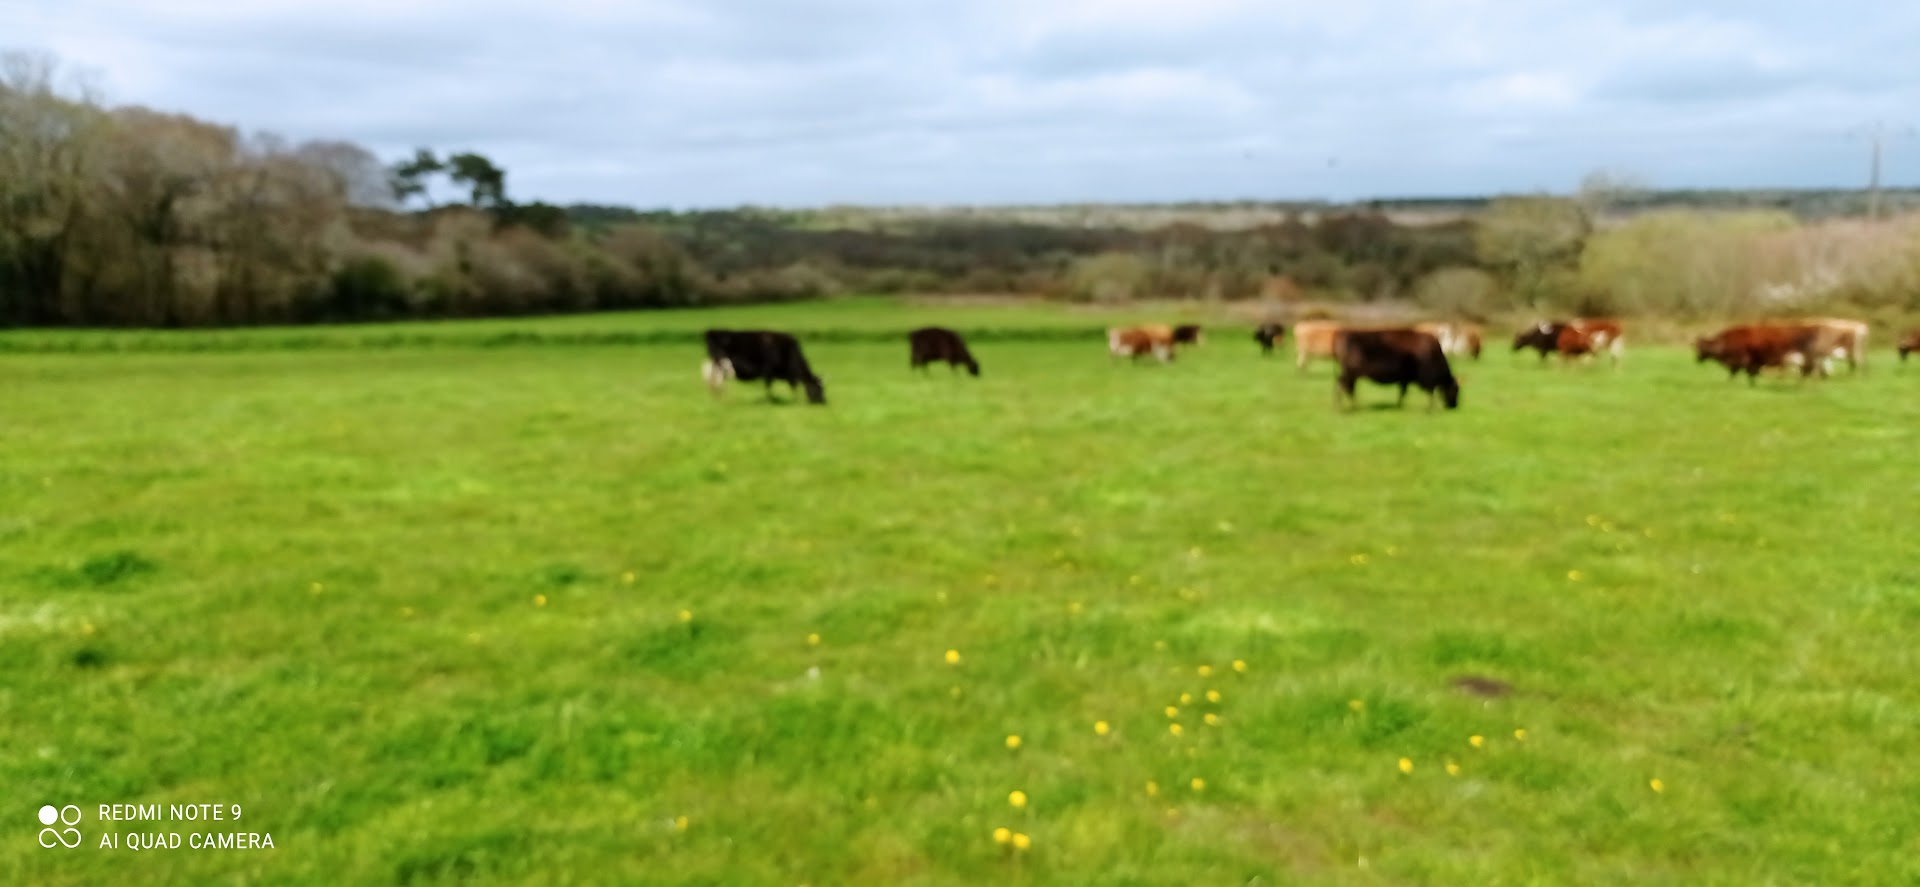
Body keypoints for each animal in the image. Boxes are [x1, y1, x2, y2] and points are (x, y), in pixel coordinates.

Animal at [1332, 328, 1461, 412]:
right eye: (1455, 390)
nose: (1454, 406)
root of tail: (1345, 334)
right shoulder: (1425, 380)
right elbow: (1429, 393)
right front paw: (1430, 408)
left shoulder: (1405, 379)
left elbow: (1402, 392)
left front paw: (1399, 405)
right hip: (1349, 374)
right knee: (1344, 387)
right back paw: (1346, 407)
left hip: (1350, 375)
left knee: (1346, 388)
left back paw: (1350, 406)